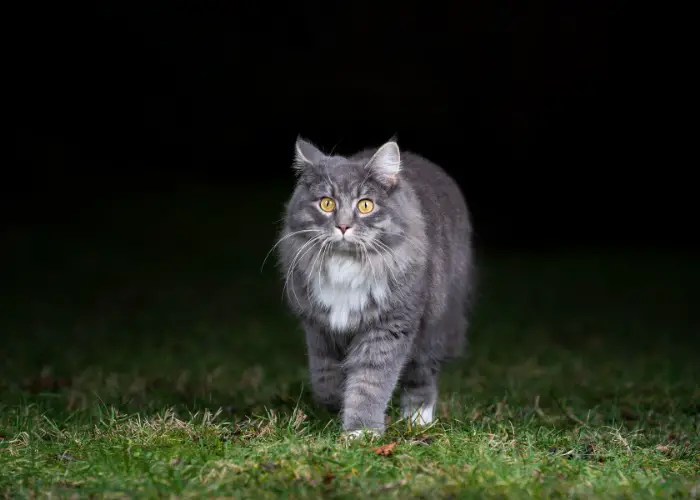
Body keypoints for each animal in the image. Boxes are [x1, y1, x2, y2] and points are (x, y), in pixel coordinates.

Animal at [276, 138, 474, 438]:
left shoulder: (388, 326)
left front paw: (361, 431)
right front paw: (337, 402)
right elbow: (325, 377)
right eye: (326, 203)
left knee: (422, 374)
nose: (343, 226)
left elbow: (369, 383)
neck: (346, 266)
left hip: (434, 325)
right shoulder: (319, 327)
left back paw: (418, 418)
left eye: (366, 205)